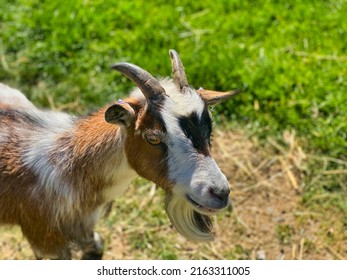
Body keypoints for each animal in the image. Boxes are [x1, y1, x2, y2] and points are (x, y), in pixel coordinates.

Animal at [0, 50, 238, 260]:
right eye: (153, 138)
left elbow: (96, 246)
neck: (68, 161)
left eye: (209, 130)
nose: (219, 192)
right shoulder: (44, 238)